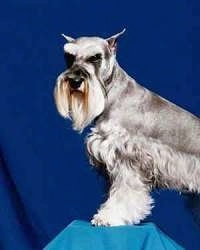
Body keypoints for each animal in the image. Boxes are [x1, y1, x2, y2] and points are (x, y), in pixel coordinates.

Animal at [53, 29, 200, 227]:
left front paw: (108, 217)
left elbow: (124, 193)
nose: (75, 81)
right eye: (69, 56)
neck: (114, 94)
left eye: (96, 57)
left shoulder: (127, 158)